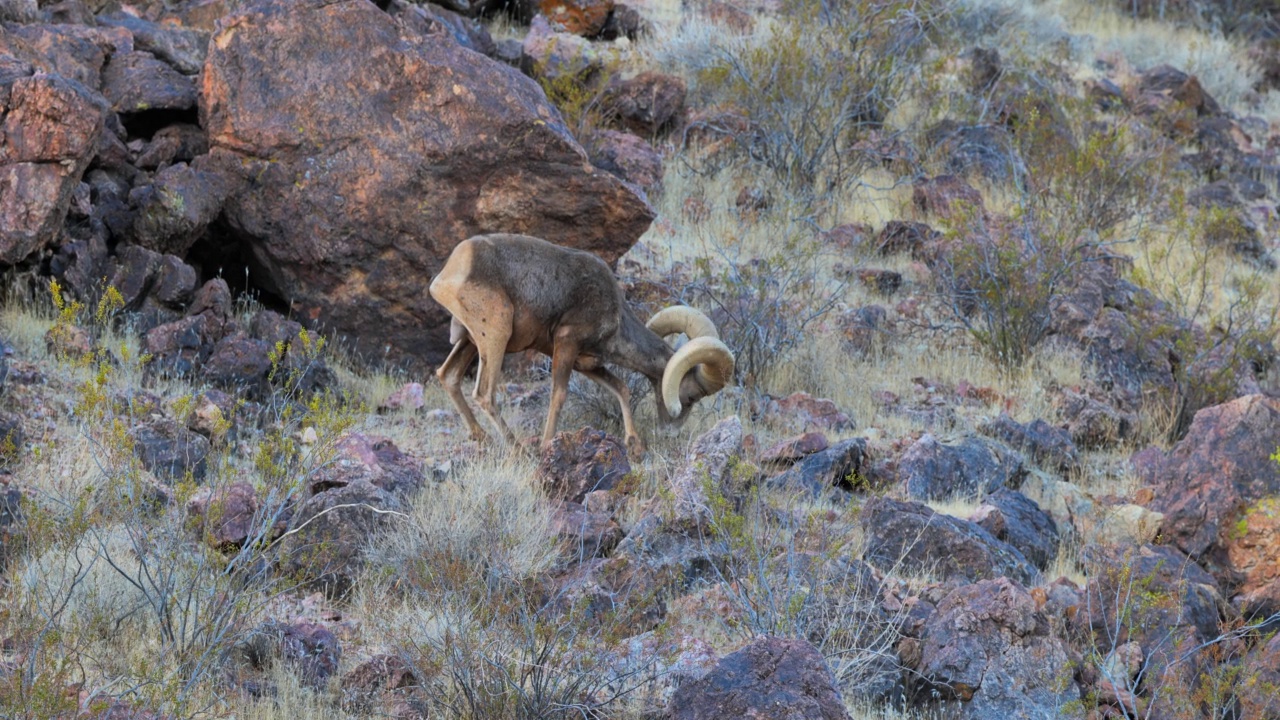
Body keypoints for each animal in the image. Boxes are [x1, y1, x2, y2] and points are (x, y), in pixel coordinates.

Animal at [427, 233, 737, 453]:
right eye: (691, 397)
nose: (670, 433)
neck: (615, 316)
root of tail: (448, 274)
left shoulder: (586, 364)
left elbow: (621, 388)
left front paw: (633, 445)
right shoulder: (566, 345)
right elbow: (559, 395)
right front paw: (546, 446)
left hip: (469, 341)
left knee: (449, 376)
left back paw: (482, 438)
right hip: (494, 336)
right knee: (484, 394)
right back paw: (518, 451)